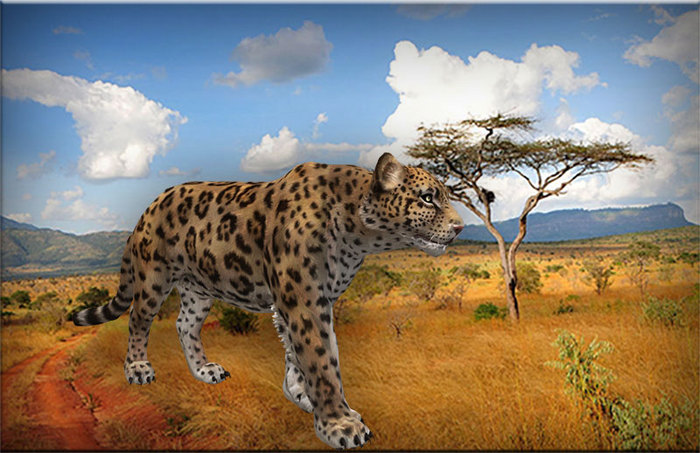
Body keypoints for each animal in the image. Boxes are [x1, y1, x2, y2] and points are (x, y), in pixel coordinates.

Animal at [73, 152, 464, 449]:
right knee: (138, 320)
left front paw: (300, 394)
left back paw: (205, 370)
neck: (359, 230)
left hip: (200, 287)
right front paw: (339, 424)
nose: (460, 227)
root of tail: (150, 205)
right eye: (427, 197)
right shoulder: (303, 300)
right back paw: (138, 368)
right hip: (154, 277)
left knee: (185, 324)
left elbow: (297, 352)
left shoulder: (305, 300)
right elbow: (322, 360)